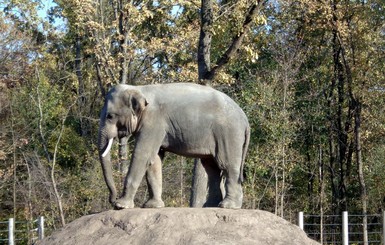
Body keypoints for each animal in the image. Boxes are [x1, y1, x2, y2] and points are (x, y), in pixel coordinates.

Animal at [97, 82, 250, 209]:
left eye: (110, 116)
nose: (112, 200)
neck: (140, 89)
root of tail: (245, 119)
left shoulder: (154, 122)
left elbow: (143, 155)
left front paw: (121, 206)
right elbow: (154, 159)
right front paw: (152, 206)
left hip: (229, 133)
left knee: (227, 165)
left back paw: (228, 206)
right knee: (211, 168)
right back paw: (210, 206)